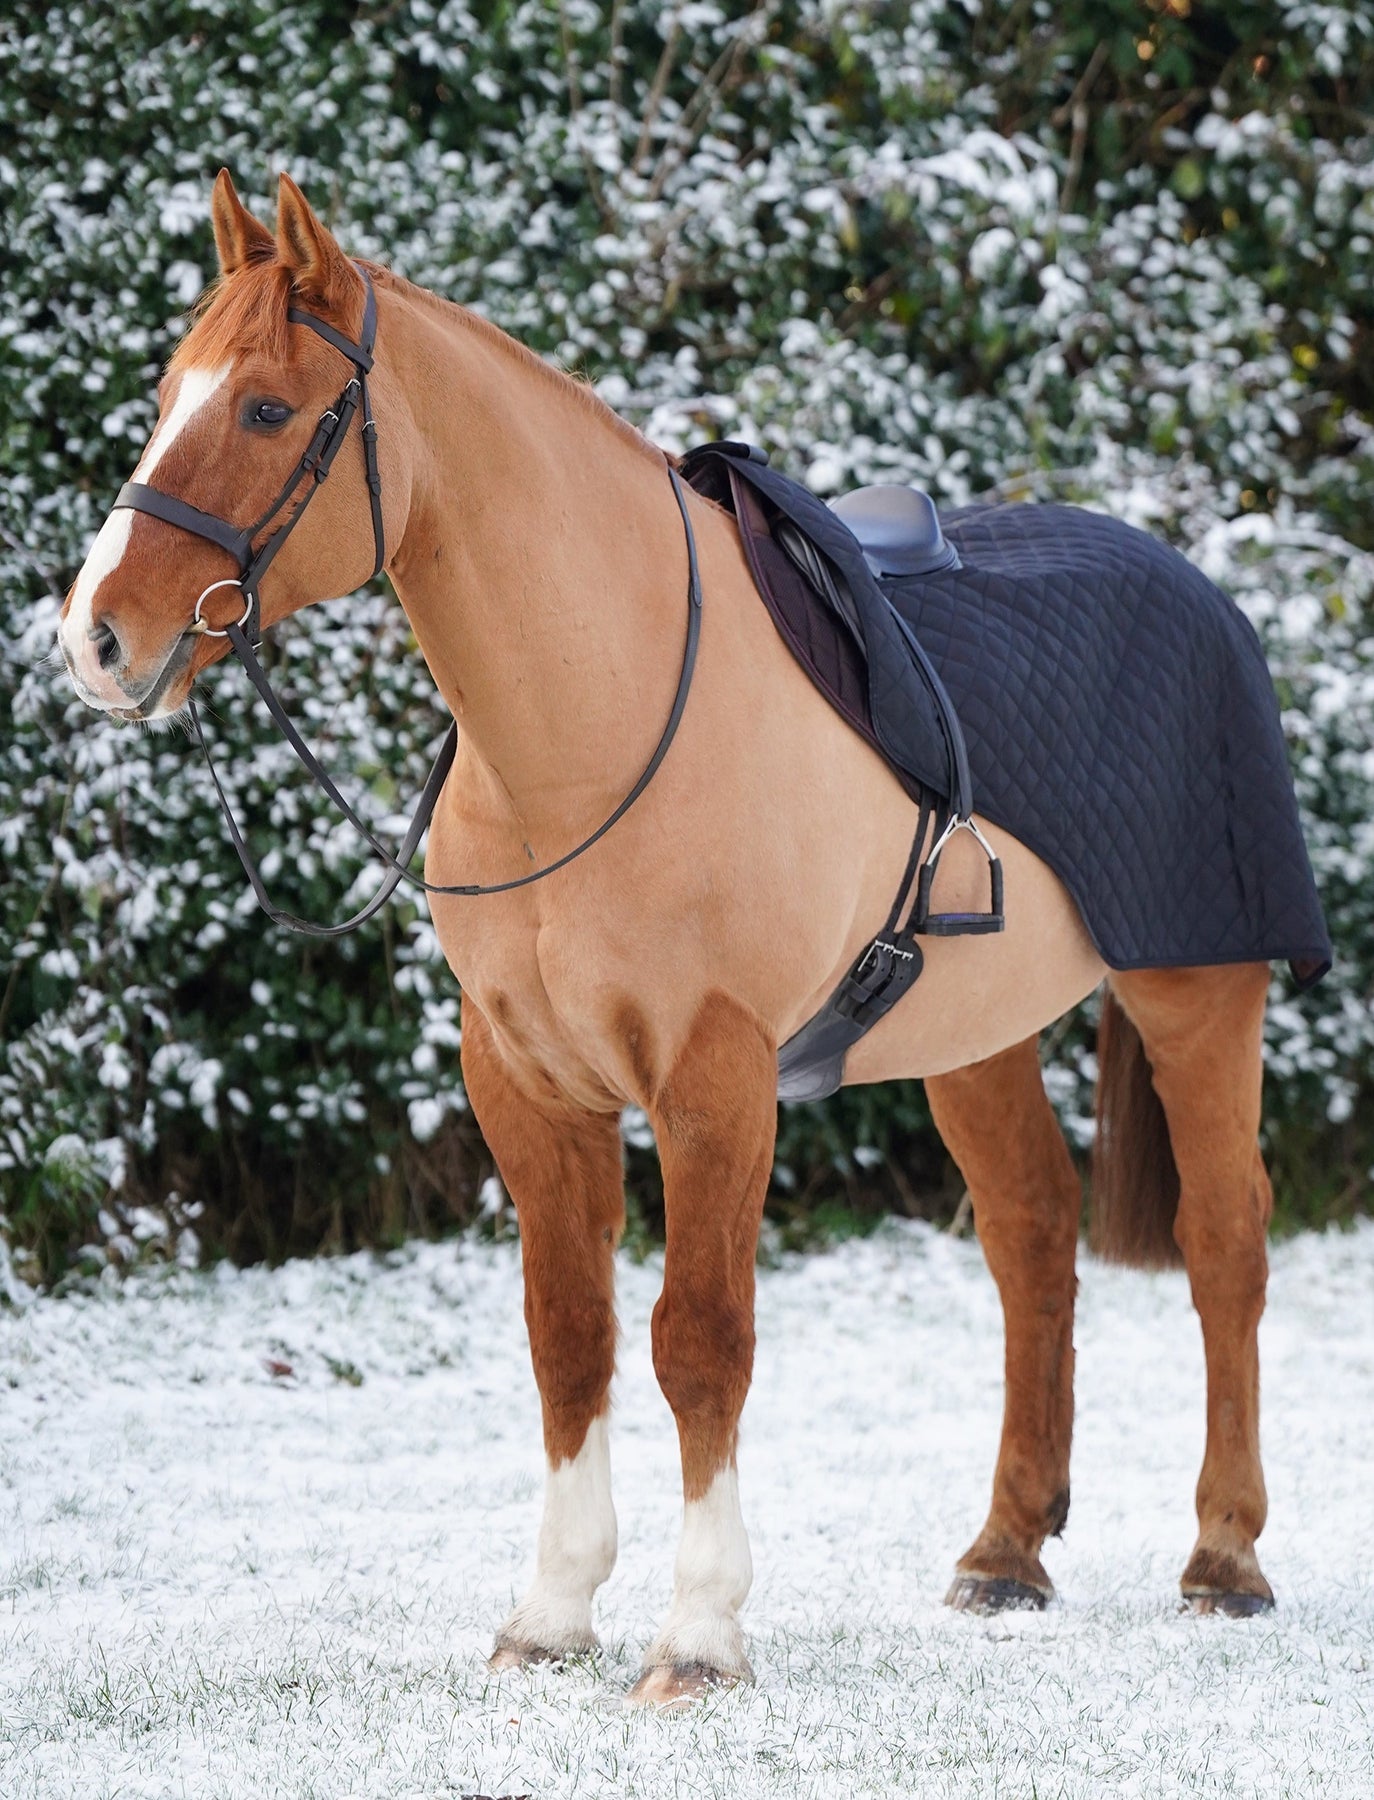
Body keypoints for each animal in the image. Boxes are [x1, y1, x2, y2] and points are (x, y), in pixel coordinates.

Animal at [60, 170, 1286, 1706]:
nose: (95, 638)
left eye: (271, 410)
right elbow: (569, 1336)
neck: (597, 720)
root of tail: (1191, 585)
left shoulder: (713, 1079)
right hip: (972, 1037)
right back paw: (1005, 1553)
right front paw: (551, 1612)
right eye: (171, 393)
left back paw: (1224, 1557)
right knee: (1031, 1242)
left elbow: (698, 1339)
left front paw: (697, 1635)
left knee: (1223, 1241)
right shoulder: (527, 1086)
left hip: (1196, 993)